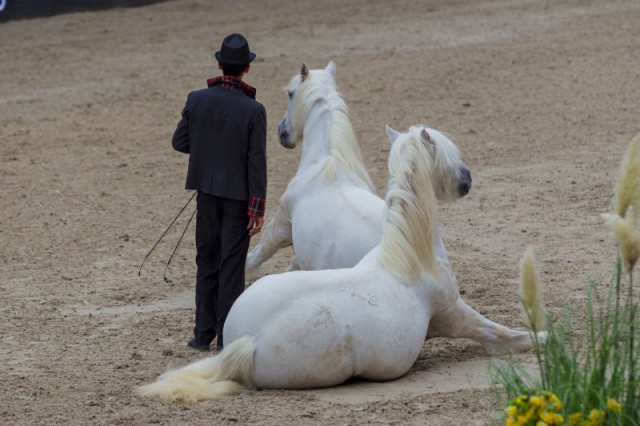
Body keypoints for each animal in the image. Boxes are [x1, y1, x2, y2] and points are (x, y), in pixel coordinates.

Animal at [136, 124, 544, 402]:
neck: (409, 256)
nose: (467, 179)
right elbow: (501, 335)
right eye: (447, 154)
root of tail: (247, 340)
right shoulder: (455, 314)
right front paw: (544, 336)